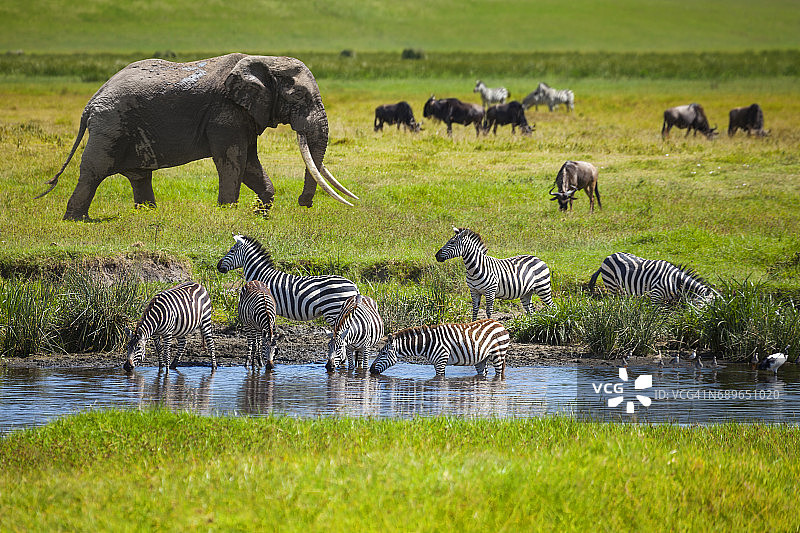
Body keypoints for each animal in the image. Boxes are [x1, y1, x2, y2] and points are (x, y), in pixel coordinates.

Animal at [36, 53, 358, 220]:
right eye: (300, 96)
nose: (305, 204)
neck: (264, 60)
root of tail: (90, 104)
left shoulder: (244, 114)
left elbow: (249, 163)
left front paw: (261, 212)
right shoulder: (225, 113)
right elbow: (233, 161)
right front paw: (229, 213)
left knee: (139, 175)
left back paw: (148, 215)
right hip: (110, 124)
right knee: (94, 170)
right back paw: (77, 220)